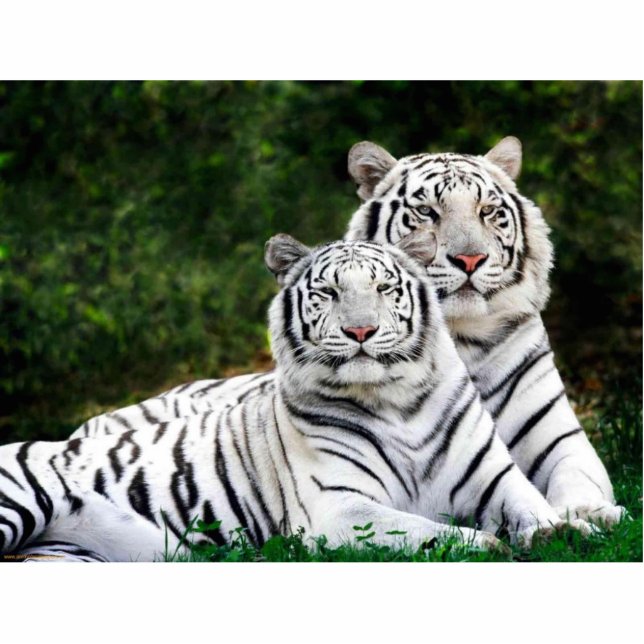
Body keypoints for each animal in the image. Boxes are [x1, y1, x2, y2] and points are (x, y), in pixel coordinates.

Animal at [1, 229, 588, 562]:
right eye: (329, 292)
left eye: (384, 289)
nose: (360, 331)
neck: (398, 402)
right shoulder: (338, 507)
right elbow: (425, 529)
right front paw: (487, 545)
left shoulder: (494, 478)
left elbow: (533, 507)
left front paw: (568, 530)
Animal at [73, 137, 624, 529]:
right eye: (427, 212)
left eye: (488, 211)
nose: (469, 259)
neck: (461, 339)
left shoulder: (559, 438)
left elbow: (579, 477)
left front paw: (592, 514)